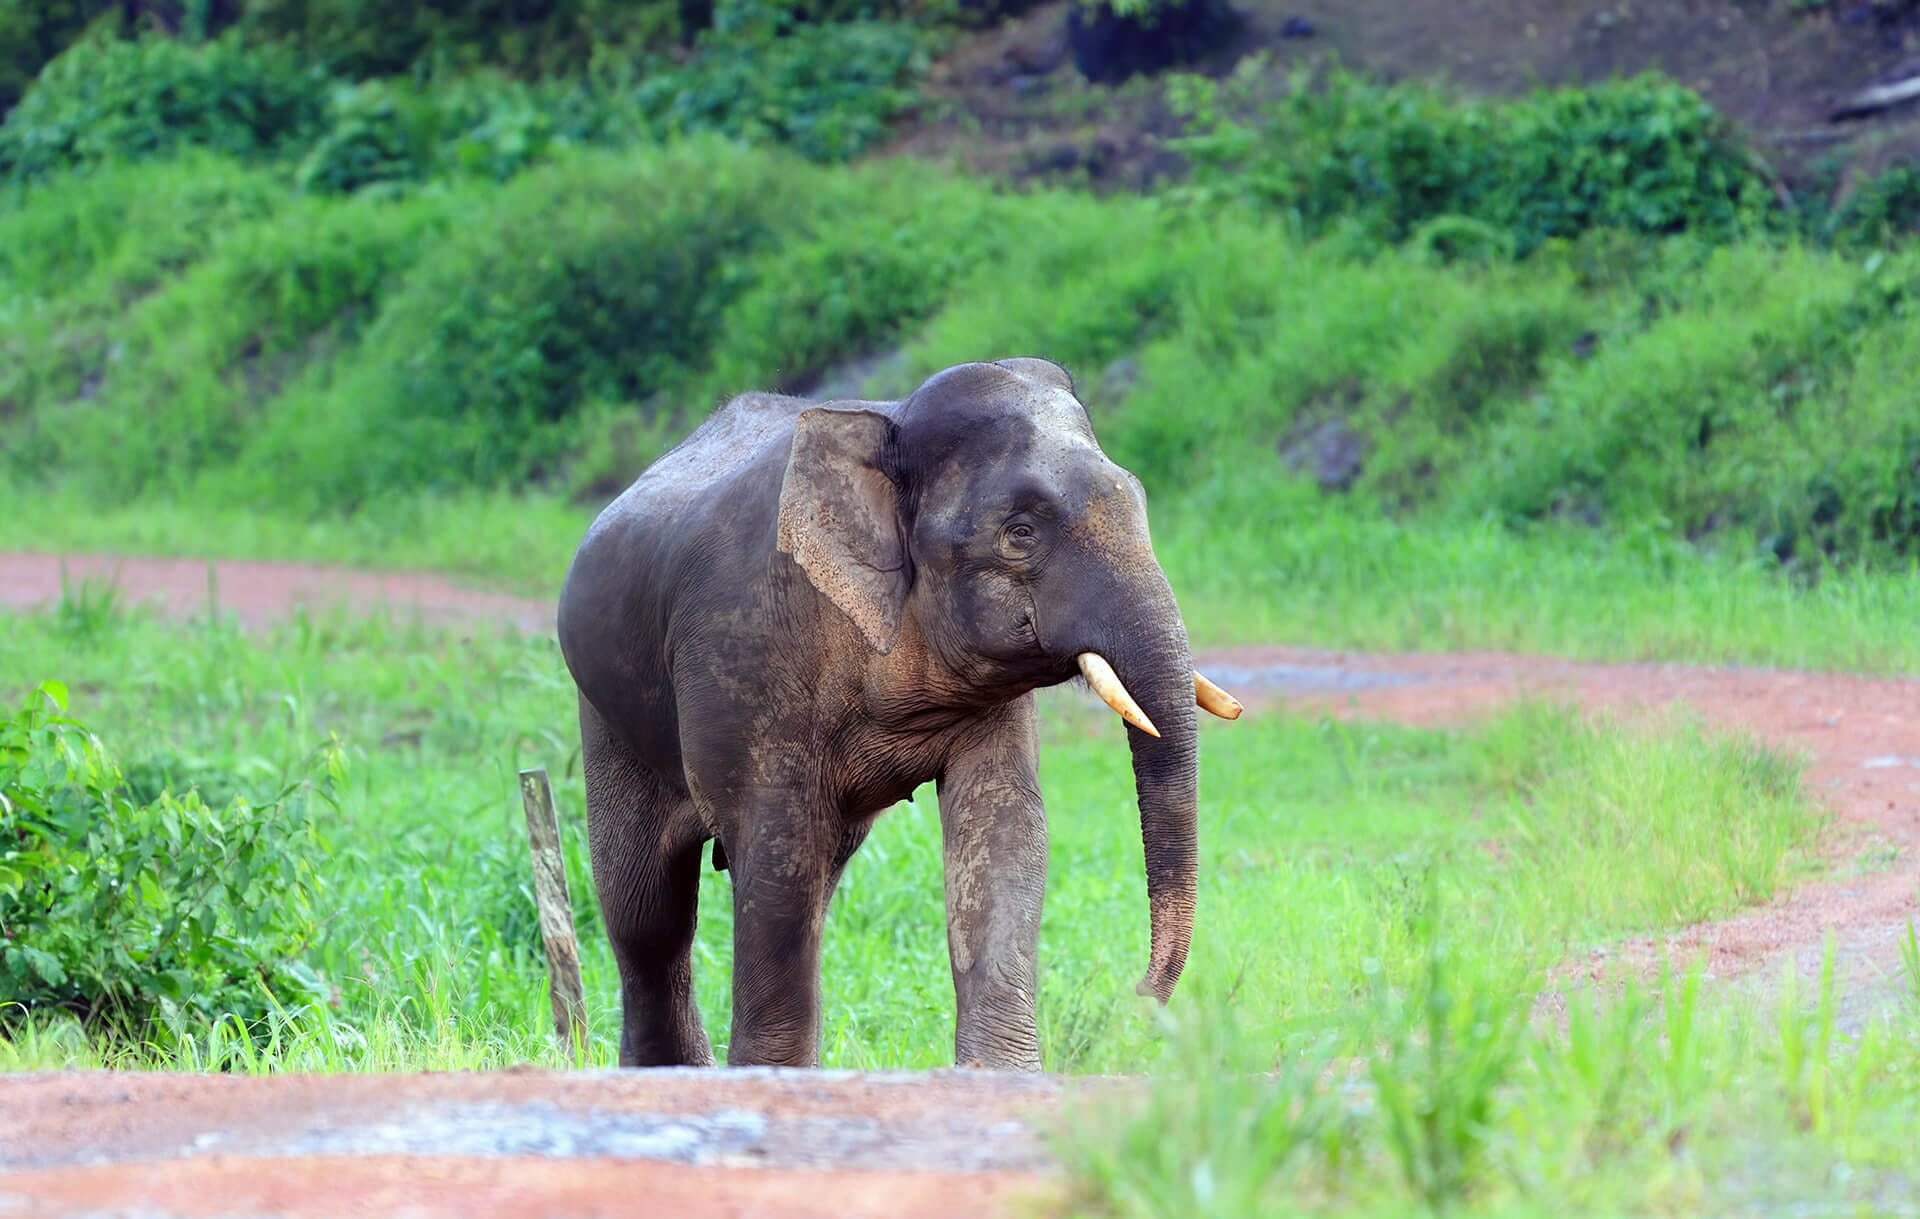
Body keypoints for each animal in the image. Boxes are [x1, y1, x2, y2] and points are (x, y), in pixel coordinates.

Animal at [555, 356, 1243, 1071]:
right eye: (1020, 533)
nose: (1140, 996)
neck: (891, 423)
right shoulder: (745, 648)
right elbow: (778, 846)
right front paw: (771, 1077)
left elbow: (1003, 827)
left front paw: (999, 1076)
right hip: (607, 714)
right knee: (649, 909)